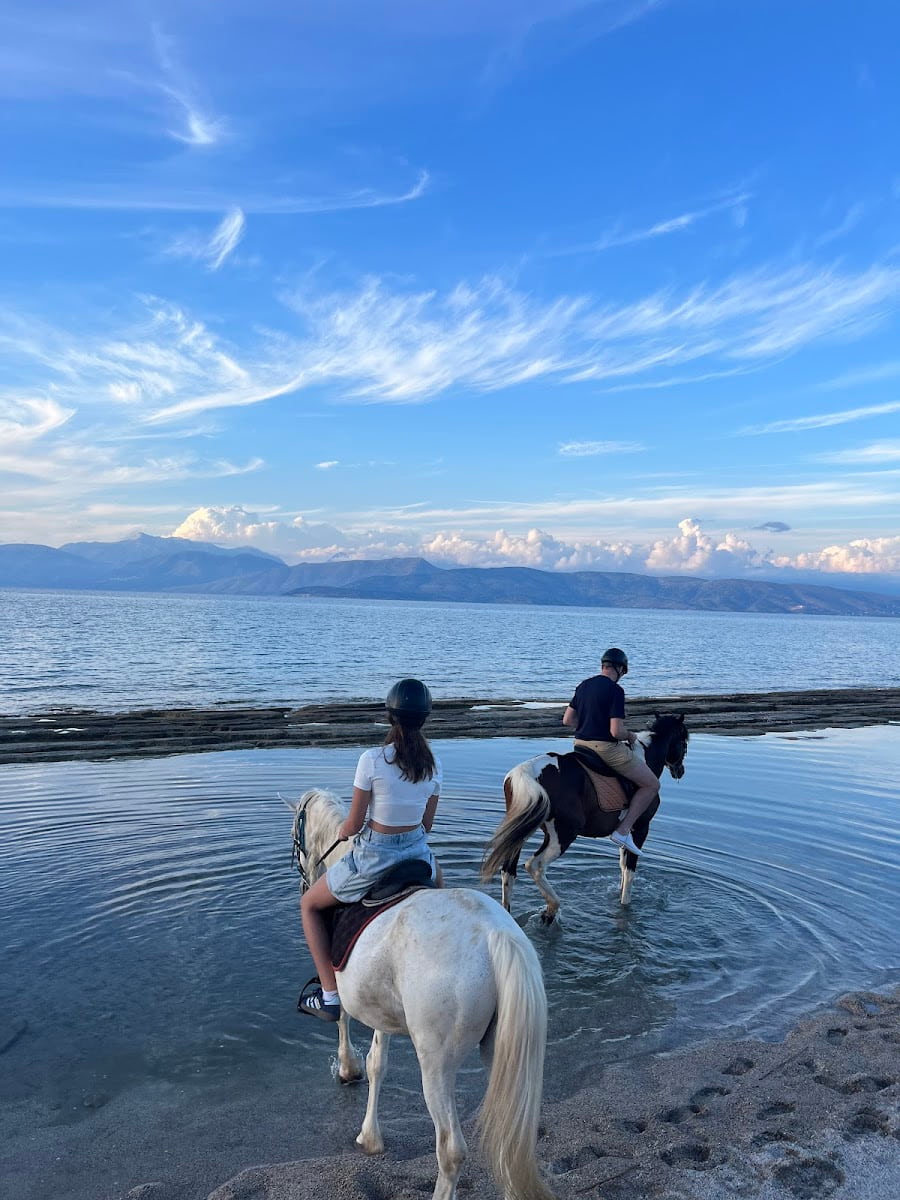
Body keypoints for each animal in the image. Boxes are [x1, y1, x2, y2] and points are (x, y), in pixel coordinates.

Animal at [288, 789, 555, 1200]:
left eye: (296, 836)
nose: (303, 879)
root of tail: (497, 935)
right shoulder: (381, 1010)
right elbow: (378, 1063)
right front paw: (370, 1136)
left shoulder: (344, 986)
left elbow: (343, 1022)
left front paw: (348, 1069)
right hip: (505, 1051)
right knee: (512, 1139)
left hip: (436, 1063)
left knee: (451, 1149)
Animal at [481, 713, 689, 922]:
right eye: (684, 741)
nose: (680, 771)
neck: (645, 757)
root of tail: (526, 774)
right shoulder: (640, 828)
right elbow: (629, 871)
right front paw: (625, 906)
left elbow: (622, 866)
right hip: (563, 833)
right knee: (535, 866)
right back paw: (552, 908)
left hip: (522, 831)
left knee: (508, 871)